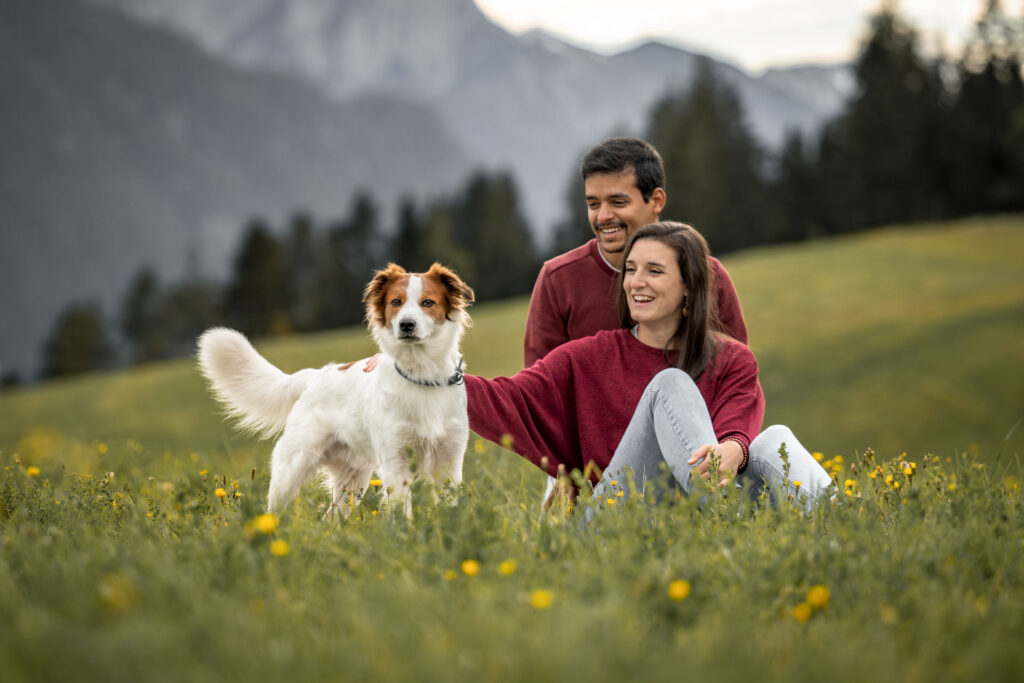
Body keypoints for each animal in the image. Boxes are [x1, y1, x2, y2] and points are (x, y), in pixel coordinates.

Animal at [196, 264, 475, 518]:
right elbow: (401, 514)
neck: (422, 375)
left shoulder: (449, 462)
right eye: (396, 302)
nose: (406, 325)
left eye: (428, 302)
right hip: (292, 469)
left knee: (330, 518)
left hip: (353, 478)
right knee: (275, 512)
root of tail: (317, 375)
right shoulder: (396, 463)